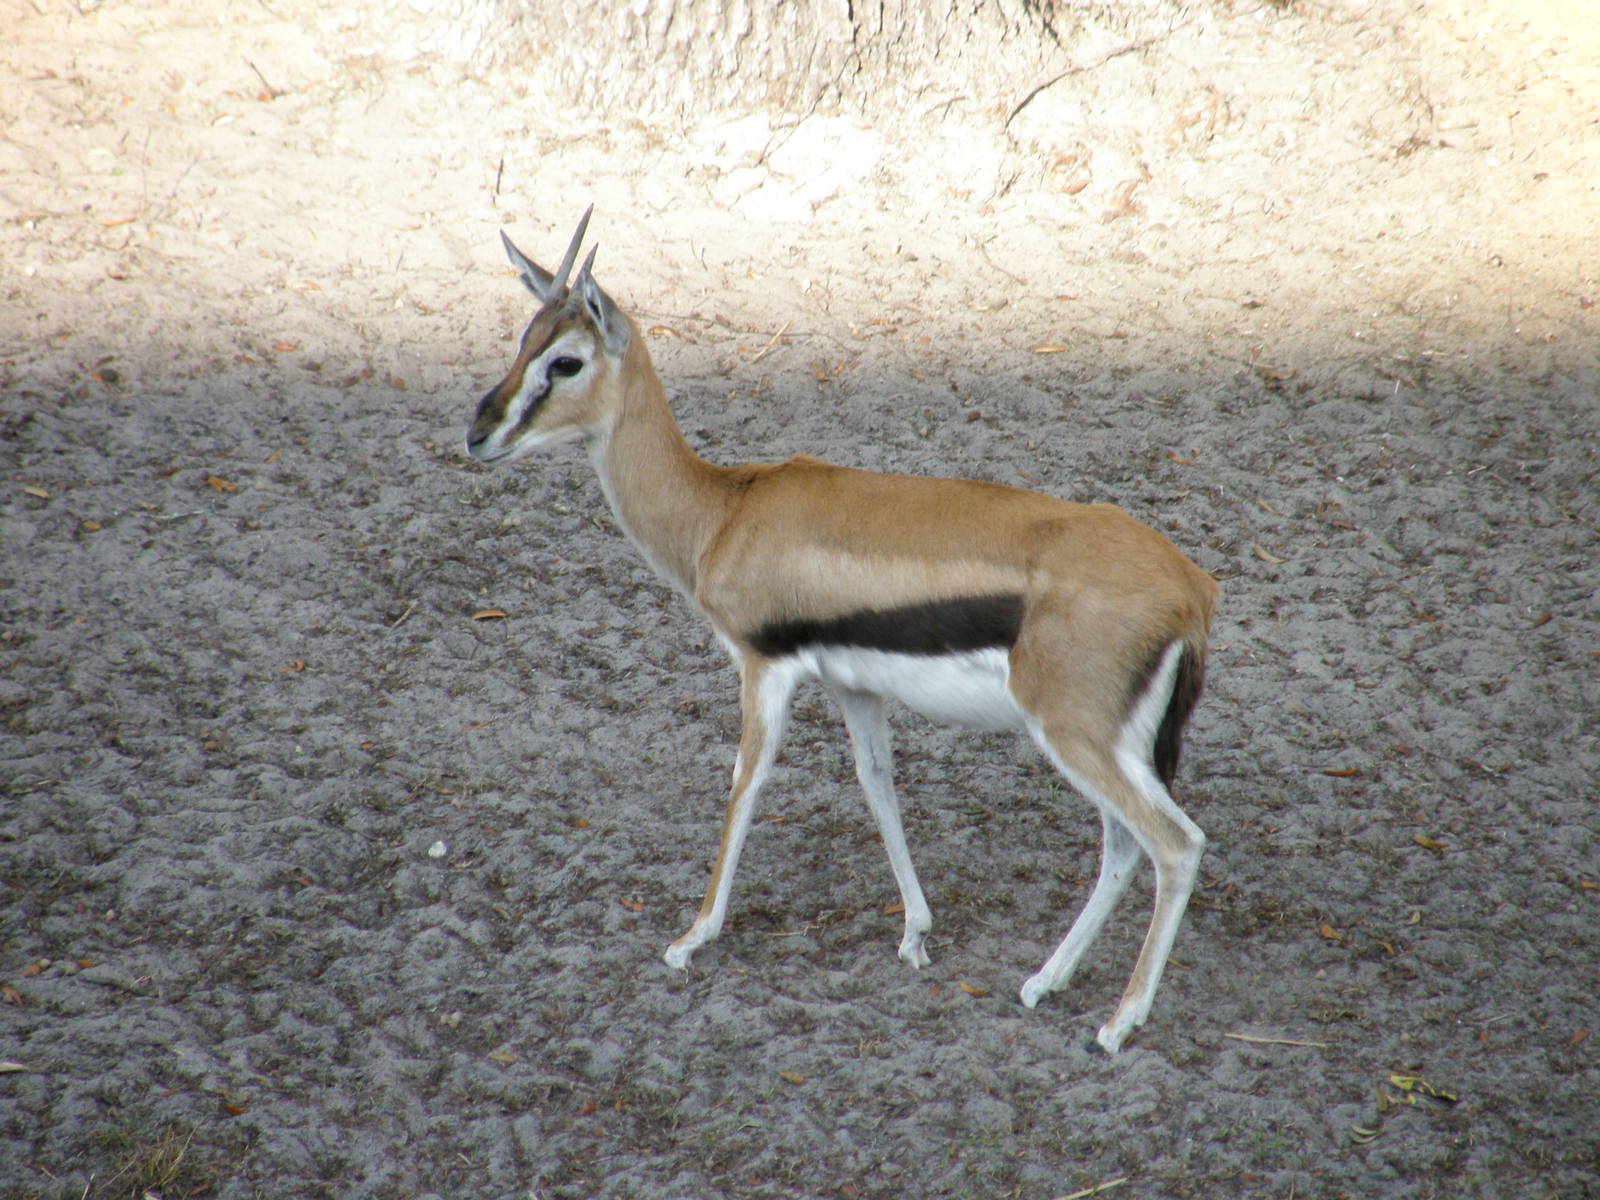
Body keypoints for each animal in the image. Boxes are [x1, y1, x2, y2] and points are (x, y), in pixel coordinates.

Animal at [464, 209, 1219, 1053]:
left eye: (565, 360)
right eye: (523, 338)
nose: (478, 433)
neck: (724, 511)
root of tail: (1189, 589)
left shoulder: (763, 668)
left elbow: (746, 781)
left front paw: (692, 938)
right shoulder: (854, 686)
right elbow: (877, 782)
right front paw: (916, 933)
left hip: (1074, 736)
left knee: (1174, 845)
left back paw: (1118, 1023)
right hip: (1107, 746)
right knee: (1123, 845)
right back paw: (1044, 981)